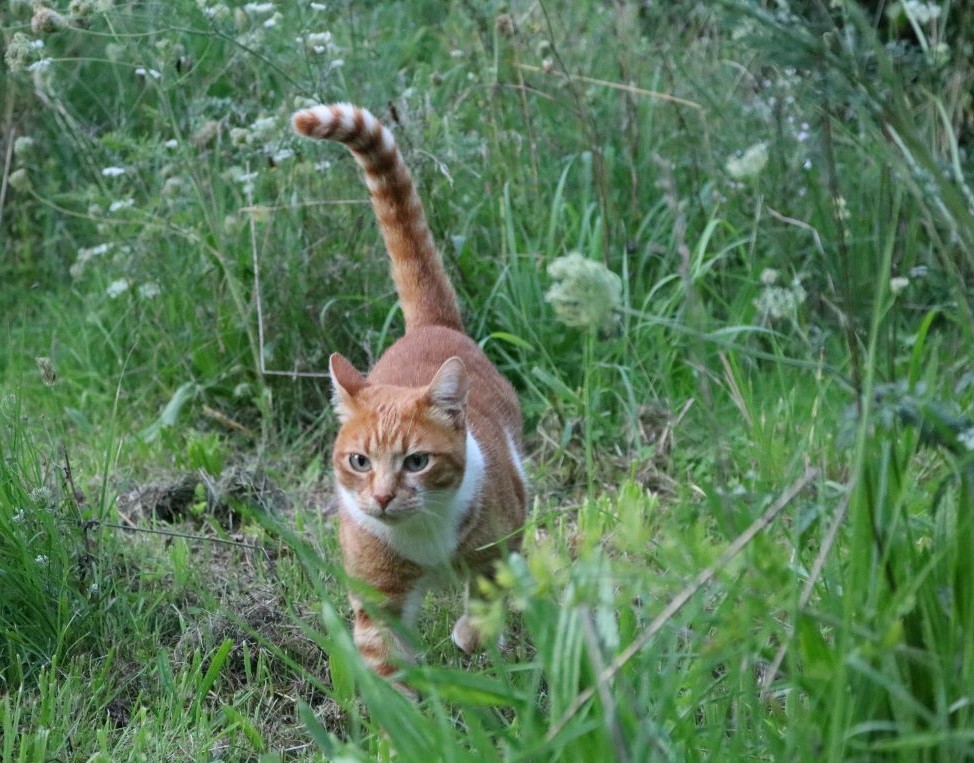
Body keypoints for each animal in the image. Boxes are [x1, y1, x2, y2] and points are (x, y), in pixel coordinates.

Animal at [294, 101, 528, 680]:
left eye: (417, 462)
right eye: (359, 462)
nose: (381, 496)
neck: (422, 538)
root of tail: (430, 325)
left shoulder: (496, 548)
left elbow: (483, 606)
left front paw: (470, 638)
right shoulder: (377, 599)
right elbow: (387, 669)